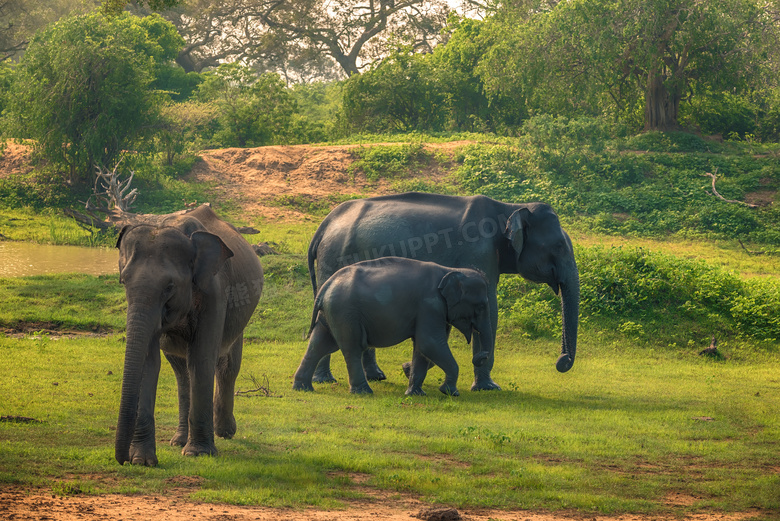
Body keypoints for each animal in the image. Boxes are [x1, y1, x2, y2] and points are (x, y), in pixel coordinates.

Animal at [114, 205, 264, 466]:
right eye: (123, 281)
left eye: (169, 286)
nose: (122, 460)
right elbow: (148, 362)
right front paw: (142, 460)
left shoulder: (214, 290)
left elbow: (202, 359)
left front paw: (198, 453)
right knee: (181, 371)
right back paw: (179, 441)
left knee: (227, 366)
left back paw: (224, 432)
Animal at [292, 256, 494, 394]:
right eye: (481, 306)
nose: (480, 357)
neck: (449, 270)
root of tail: (326, 285)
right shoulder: (430, 305)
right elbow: (430, 343)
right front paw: (450, 392)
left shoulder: (435, 311)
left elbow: (422, 348)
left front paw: (415, 394)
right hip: (345, 312)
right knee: (352, 348)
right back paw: (364, 392)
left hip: (332, 312)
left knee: (320, 344)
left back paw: (302, 388)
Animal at [304, 193, 580, 388]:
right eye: (558, 246)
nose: (562, 362)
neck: (510, 207)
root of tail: (324, 225)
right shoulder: (479, 251)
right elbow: (490, 309)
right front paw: (488, 387)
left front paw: (409, 369)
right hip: (333, 258)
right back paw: (325, 380)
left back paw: (375, 377)